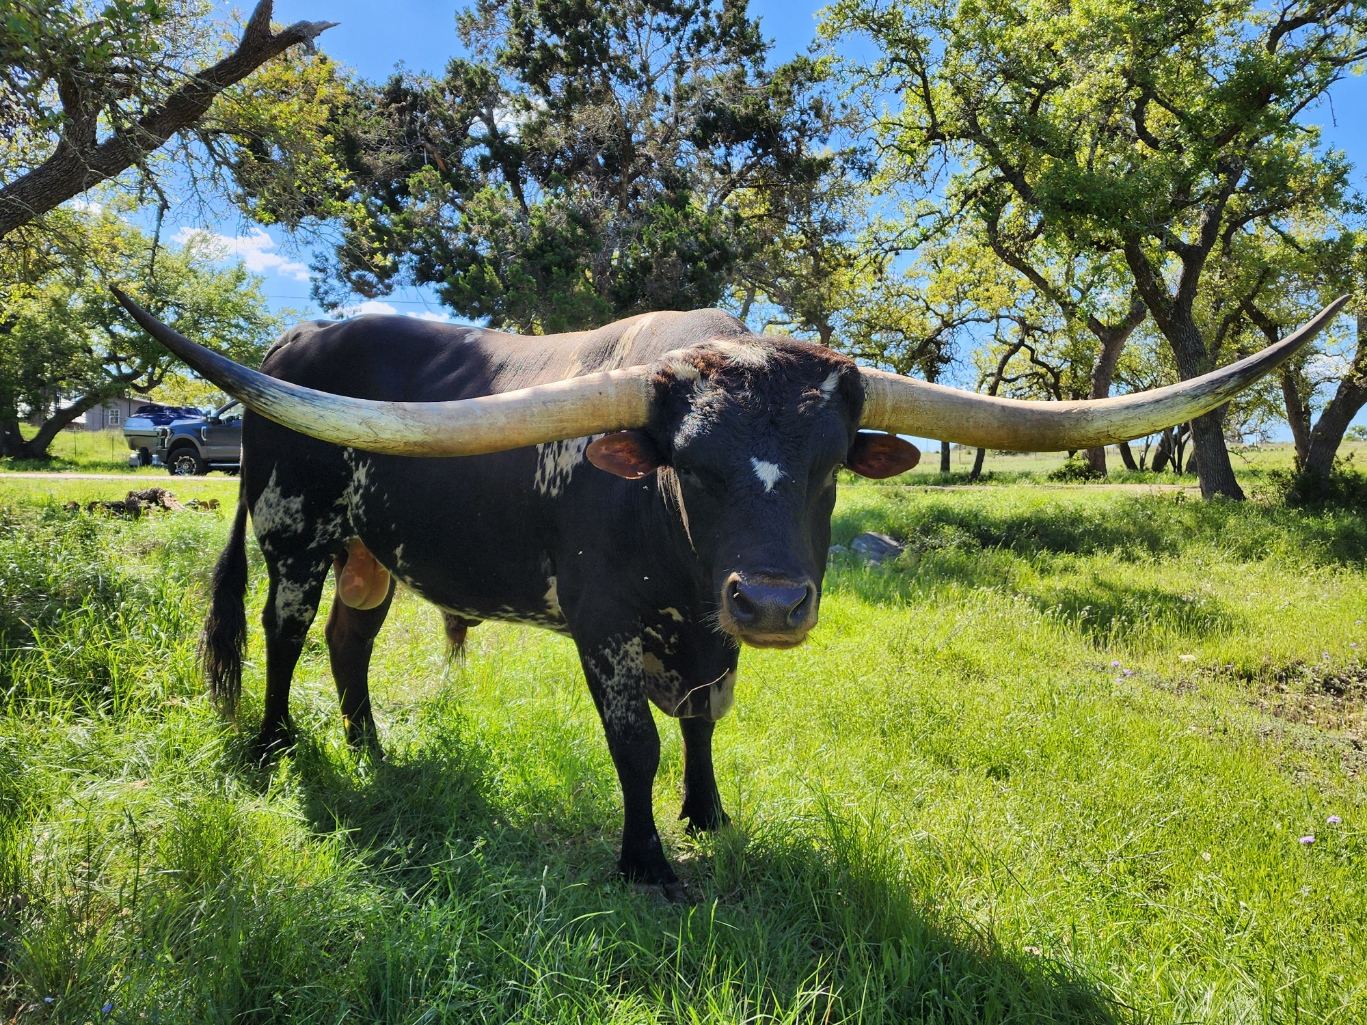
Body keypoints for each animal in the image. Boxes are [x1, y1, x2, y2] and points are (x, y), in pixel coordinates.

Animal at [112, 289, 1343, 898]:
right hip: (295, 528)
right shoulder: (605, 630)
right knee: (282, 630)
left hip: (375, 549)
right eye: (688, 464)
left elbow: (704, 722)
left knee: (352, 642)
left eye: (830, 463)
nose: (775, 601)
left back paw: (370, 747)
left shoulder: (713, 633)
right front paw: (648, 859)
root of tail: (290, 347)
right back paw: (278, 747)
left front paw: (707, 812)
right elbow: (637, 745)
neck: (681, 565)